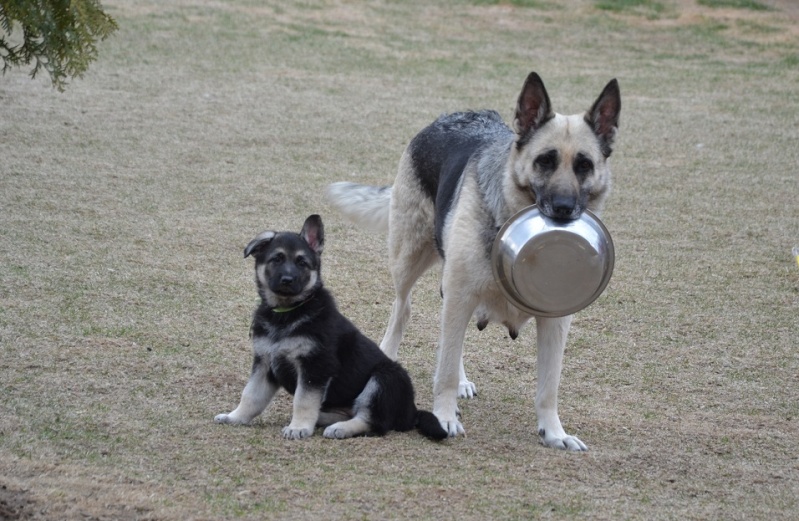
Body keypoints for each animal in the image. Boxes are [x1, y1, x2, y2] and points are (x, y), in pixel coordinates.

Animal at [216, 213, 446, 440]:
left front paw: (298, 427)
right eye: (277, 259)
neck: (288, 312)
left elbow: (303, 400)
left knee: (374, 421)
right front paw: (235, 417)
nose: (287, 280)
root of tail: (412, 412)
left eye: (302, 262)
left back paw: (341, 428)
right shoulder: (264, 362)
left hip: (384, 378)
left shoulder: (315, 366)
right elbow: (251, 395)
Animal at [328, 71, 620, 448]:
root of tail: (451, 116)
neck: (507, 209)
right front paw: (444, 417)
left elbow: (548, 386)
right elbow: (445, 372)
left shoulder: (554, 321)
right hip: (409, 258)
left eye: (585, 165)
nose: (564, 209)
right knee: (403, 310)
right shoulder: (460, 293)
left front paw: (554, 432)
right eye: (545, 160)